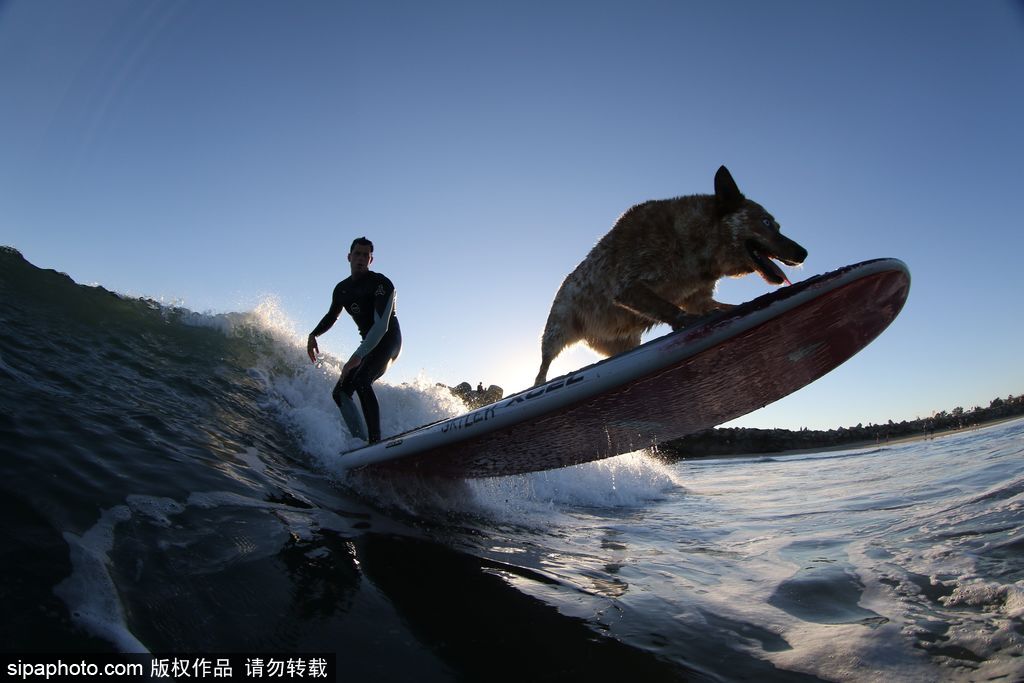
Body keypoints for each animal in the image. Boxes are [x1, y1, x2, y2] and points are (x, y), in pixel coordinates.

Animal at [536, 164, 806, 385]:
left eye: (777, 225)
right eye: (767, 222)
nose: (803, 252)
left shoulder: (698, 297)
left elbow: (717, 305)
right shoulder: (628, 287)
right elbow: (669, 308)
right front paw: (686, 321)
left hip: (623, 342)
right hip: (557, 330)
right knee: (542, 369)